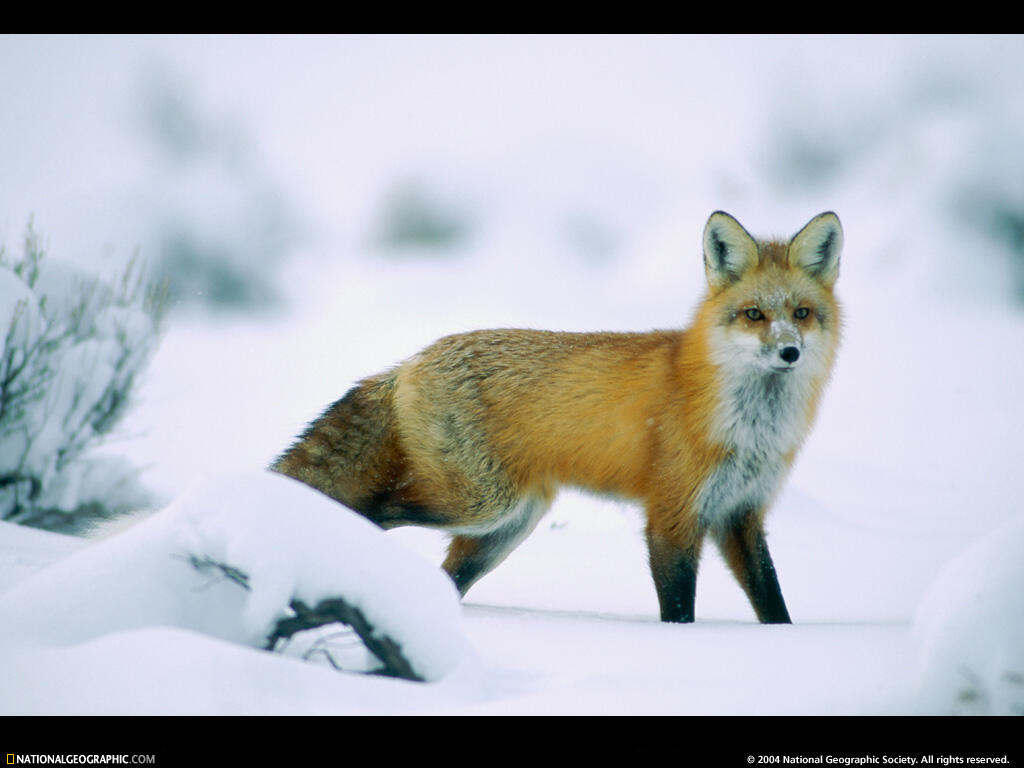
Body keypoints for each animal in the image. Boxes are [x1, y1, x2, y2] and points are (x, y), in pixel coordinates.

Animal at [272, 210, 839, 626]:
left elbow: (774, 606)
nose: (789, 351)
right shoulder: (671, 516)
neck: (750, 430)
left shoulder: (741, 514)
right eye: (754, 315)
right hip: (479, 502)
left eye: (802, 314)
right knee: (374, 509)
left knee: (443, 573)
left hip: (505, 526)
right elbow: (679, 610)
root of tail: (410, 360)